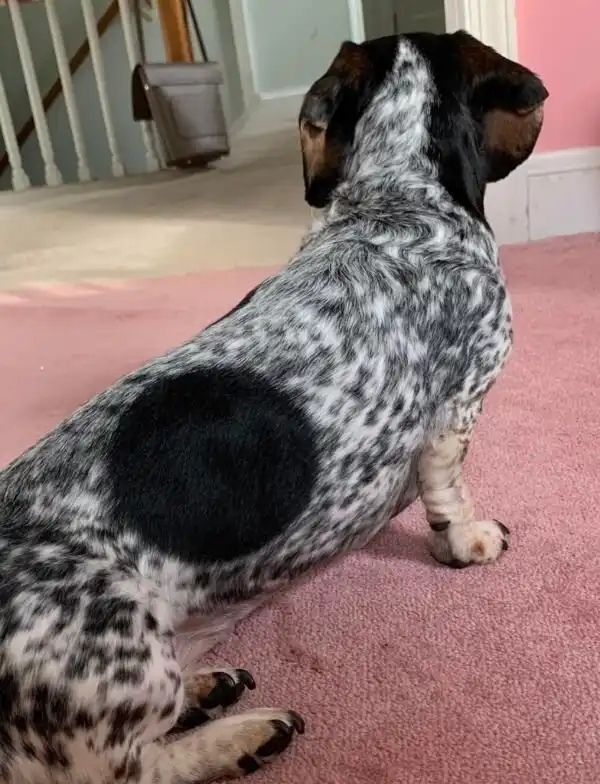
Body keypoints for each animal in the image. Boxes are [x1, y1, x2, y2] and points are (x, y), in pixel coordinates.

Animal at [0, 30, 547, 784]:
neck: (395, 206)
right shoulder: (461, 402)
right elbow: (452, 494)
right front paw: (470, 543)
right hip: (125, 659)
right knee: (137, 768)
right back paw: (241, 735)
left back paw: (210, 689)